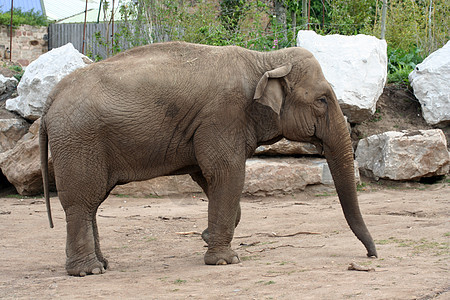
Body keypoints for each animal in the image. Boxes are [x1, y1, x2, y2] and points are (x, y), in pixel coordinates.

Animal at [40, 41, 376, 276]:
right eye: (322, 100)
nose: (372, 256)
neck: (265, 59)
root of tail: (50, 98)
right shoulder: (224, 116)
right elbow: (227, 174)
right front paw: (226, 260)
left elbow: (208, 176)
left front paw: (206, 236)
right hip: (79, 140)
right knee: (82, 200)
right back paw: (88, 271)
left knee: (93, 202)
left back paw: (103, 263)